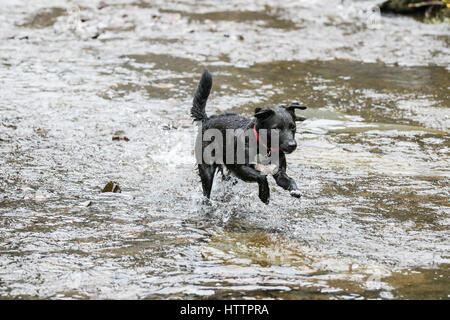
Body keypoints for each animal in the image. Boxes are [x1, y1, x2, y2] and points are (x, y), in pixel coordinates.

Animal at [190, 70, 306, 205]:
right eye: (276, 129)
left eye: (293, 127)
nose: (292, 145)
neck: (264, 147)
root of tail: (207, 119)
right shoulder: (241, 169)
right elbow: (261, 176)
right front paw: (264, 195)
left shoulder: (279, 173)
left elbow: (289, 179)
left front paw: (295, 190)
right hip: (207, 168)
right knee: (206, 192)